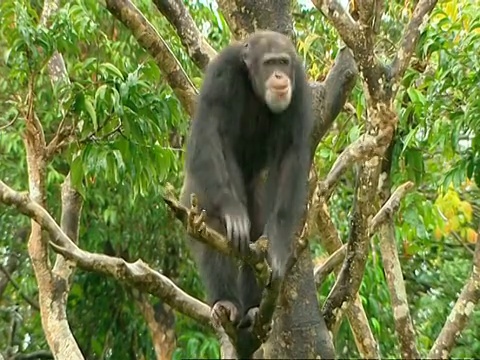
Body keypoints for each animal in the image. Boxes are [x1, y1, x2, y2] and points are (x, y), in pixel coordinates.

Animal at [182, 30, 314, 358]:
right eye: (269, 63)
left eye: (283, 62)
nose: (279, 76)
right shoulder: (219, 72)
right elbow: (208, 131)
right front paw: (232, 212)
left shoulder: (300, 89)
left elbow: (290, 154)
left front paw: (277, 245)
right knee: (211, 225)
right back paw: (228, 302)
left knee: (256, 231)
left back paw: (254, 310)